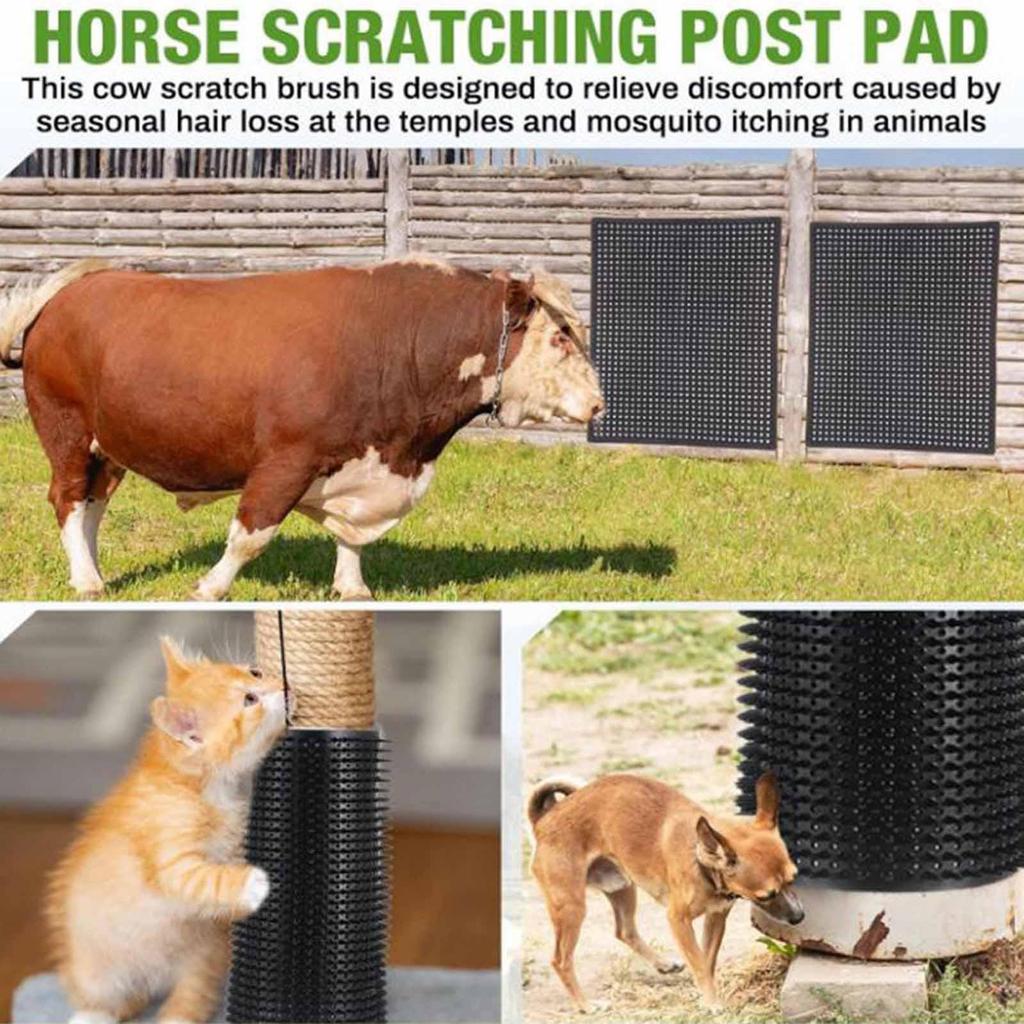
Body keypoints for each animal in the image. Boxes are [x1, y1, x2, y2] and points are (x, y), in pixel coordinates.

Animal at [0, 258, 604, 600]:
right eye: (560, 337)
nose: (598, 403)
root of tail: (71, 290)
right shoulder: (285, 460)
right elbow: (251, 534)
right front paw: (210, 588)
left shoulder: (366, 464)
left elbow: (351, 537)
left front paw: (353, 588)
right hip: (65, 430)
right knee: (67, 498)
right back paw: (86, 580)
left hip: (109, 447)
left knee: (93, 504)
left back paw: (94, 573)